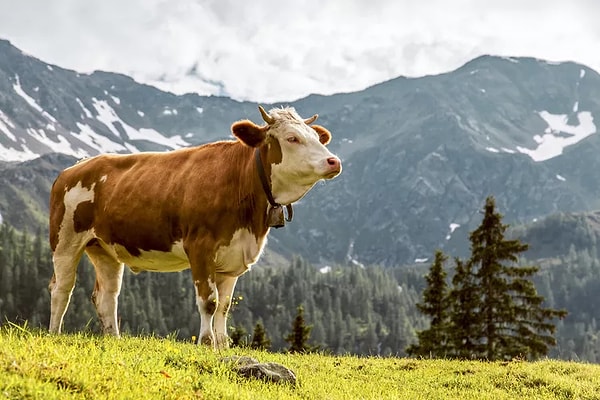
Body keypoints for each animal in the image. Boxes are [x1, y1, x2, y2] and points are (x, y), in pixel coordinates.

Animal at [48, 106, 342, 346]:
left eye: (317, 138)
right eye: (292, 138)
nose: (334, 161)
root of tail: (72, 169)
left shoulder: (233, 257)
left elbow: (224, 306)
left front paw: (223, 346)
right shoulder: (200, 248)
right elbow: (209, 302)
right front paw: (206, 342)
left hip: (104, 248)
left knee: (107, 296)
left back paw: (114, 339)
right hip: (65, 241)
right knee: (61, 288)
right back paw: (54, 333)